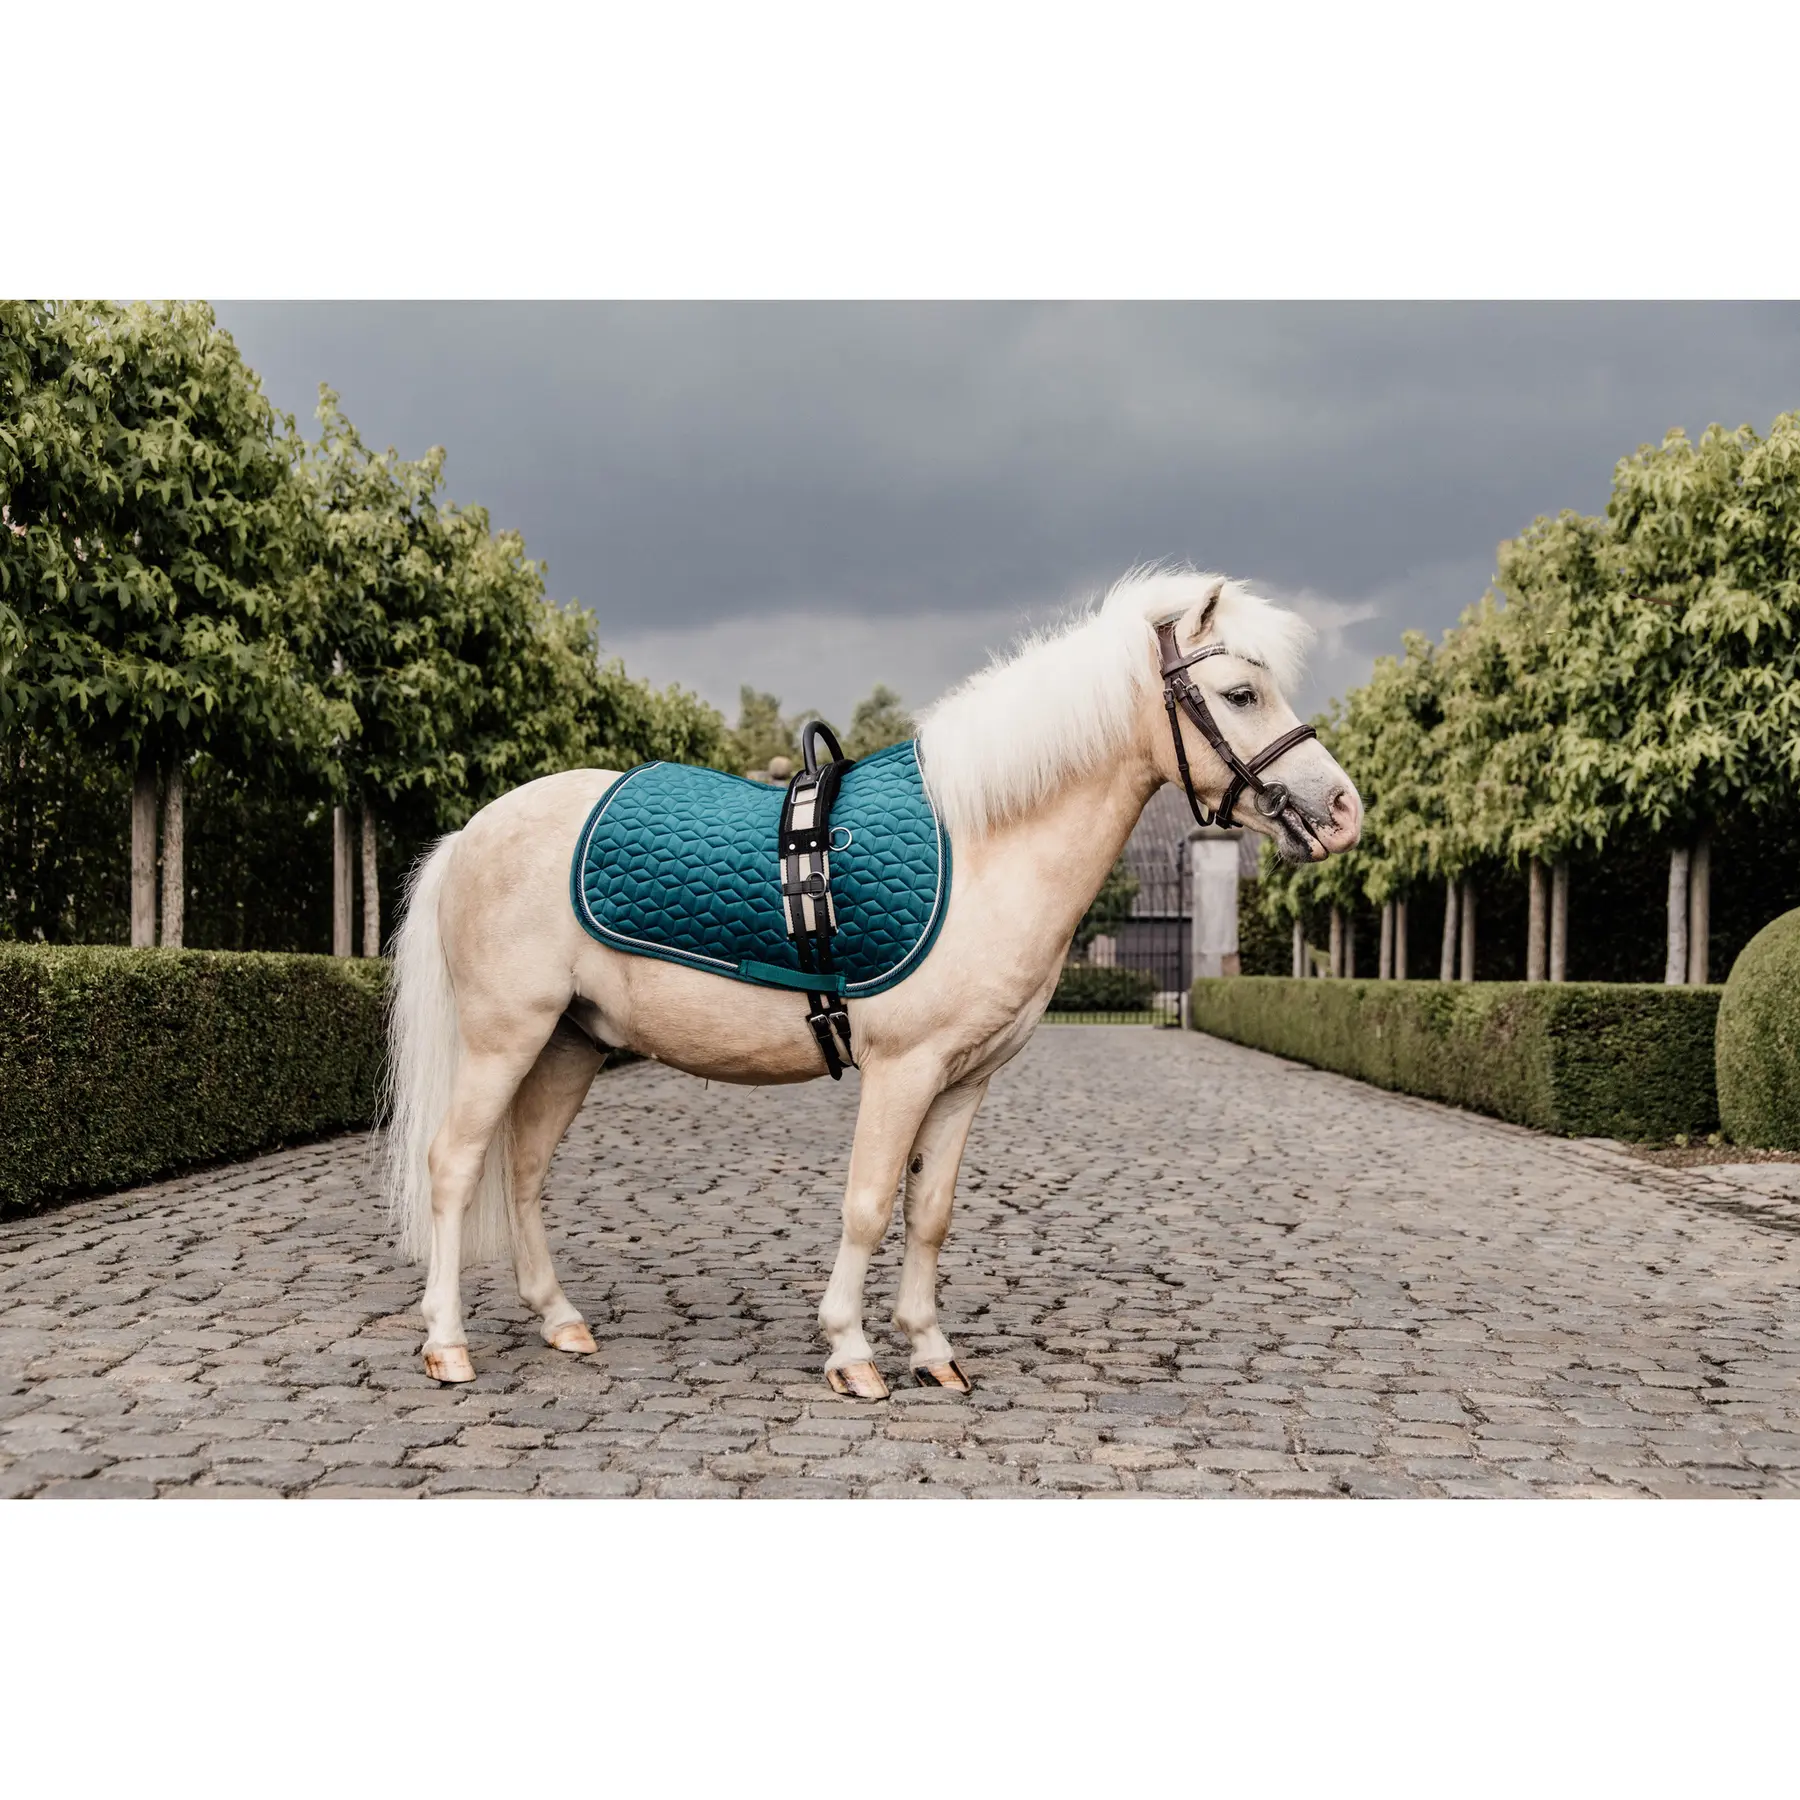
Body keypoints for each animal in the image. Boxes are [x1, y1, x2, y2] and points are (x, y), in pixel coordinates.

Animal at [382, 567, 1363, 1396]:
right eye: (1240, 693)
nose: (1342, 809)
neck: (984, 848)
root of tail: (471, 833)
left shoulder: (964, 1080)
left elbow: (928, 1212)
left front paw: (931, 1350)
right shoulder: (902, 1068)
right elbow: (865, 1204)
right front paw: (852, 1353)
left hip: (571, 1045)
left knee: (523, 1172)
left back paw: (561, 1321)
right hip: (504, 1038)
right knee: (453, 1165)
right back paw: (446, 1344)